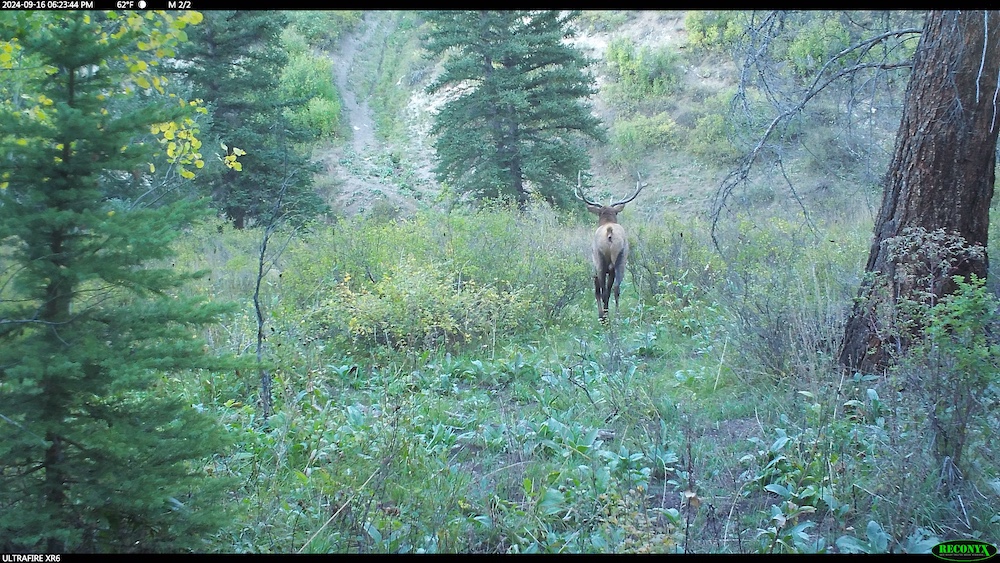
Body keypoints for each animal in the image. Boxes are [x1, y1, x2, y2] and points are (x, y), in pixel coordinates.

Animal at [576, 171, 645, 322]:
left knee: (603, 291)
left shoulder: (595, 269)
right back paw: (617, 317)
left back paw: (606, 318)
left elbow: (597, 291)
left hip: (600, 262)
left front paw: (601, 314)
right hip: (621, 259)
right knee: (616, 288)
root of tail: (609, 231)